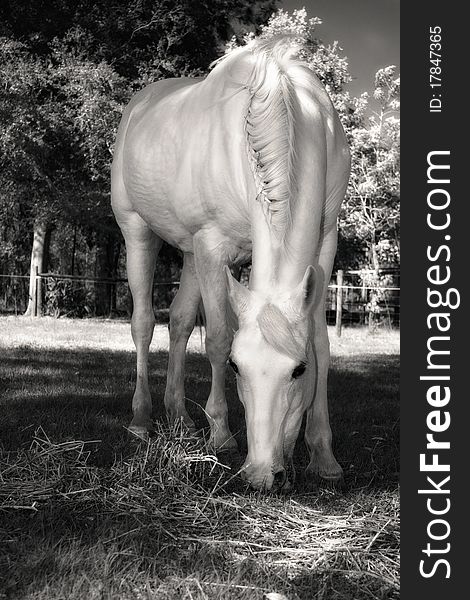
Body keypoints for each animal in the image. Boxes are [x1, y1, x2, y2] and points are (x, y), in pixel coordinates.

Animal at [112, 35, 350, 490]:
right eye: (238, 369)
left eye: (299, 370)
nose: (261, 475)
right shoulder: (212, 246)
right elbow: (220, 338)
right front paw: (221, 434)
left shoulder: (324, 243)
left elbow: (322, 343)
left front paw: (324, 455)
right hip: (139, 233)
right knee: (144, 324)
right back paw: (141, 420)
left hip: (190, 255)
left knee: (180, 322)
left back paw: (181, 418)